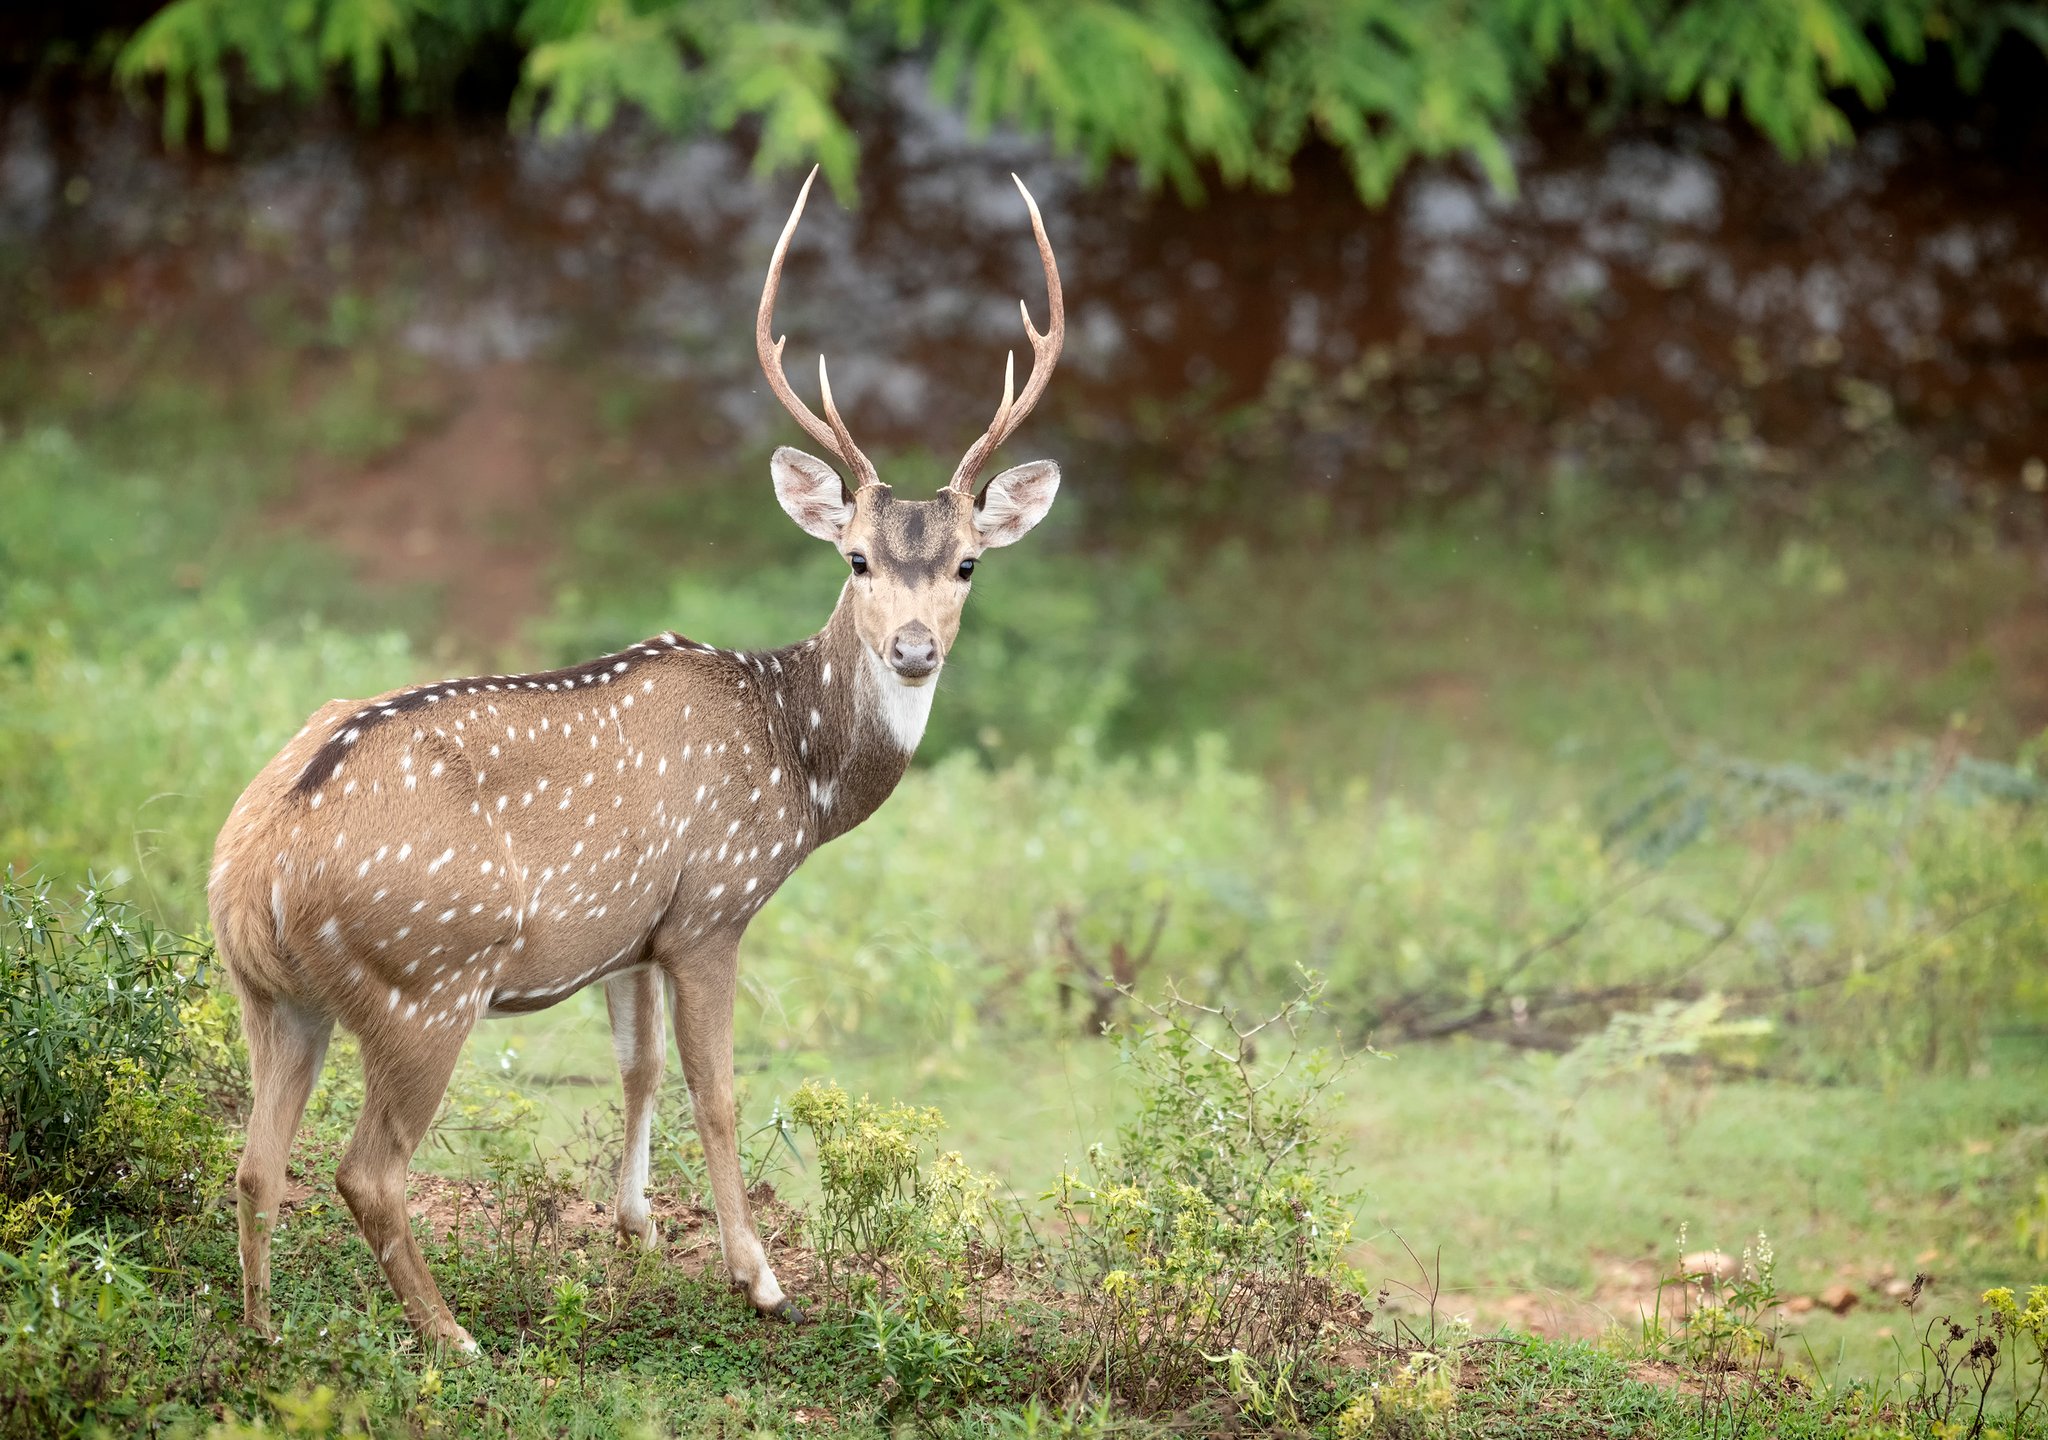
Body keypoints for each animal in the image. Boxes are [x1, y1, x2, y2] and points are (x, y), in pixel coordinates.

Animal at [206, 168, 1064, 1353]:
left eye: (970, 564)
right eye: (853, 558)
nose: (912, 648)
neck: (793, 759)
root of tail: (254, 869)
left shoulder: (629, 932)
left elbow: (637, 1067)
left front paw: (637, 1228)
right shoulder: (711, 905)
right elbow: (720, 1089)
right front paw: (758, 1276)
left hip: (273, 996)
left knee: (253, 1164)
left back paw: (264, 1333)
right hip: (426, 978)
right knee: (364, 1171)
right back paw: (454, 1338)